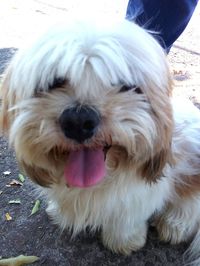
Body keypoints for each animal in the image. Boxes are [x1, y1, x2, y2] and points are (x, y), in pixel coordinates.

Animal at [1, 19, 200, 264]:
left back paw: (175, 224)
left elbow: (126, 222)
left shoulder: (137, 199)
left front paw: (124, 241)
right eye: (55, 82)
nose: (78, 120)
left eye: (124, 84)